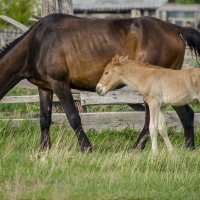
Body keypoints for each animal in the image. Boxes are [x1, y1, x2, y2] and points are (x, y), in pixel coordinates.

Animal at [0, 14, 200, 151]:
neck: (38, 44)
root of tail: (175, 28)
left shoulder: (60, 84)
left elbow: (73, 117)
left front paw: (86, 148)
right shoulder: (45, 88)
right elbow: (44, 119)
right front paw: (44, 149)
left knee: (151, 118)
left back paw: (137, 148)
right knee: (186, 114)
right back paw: (188, 148)